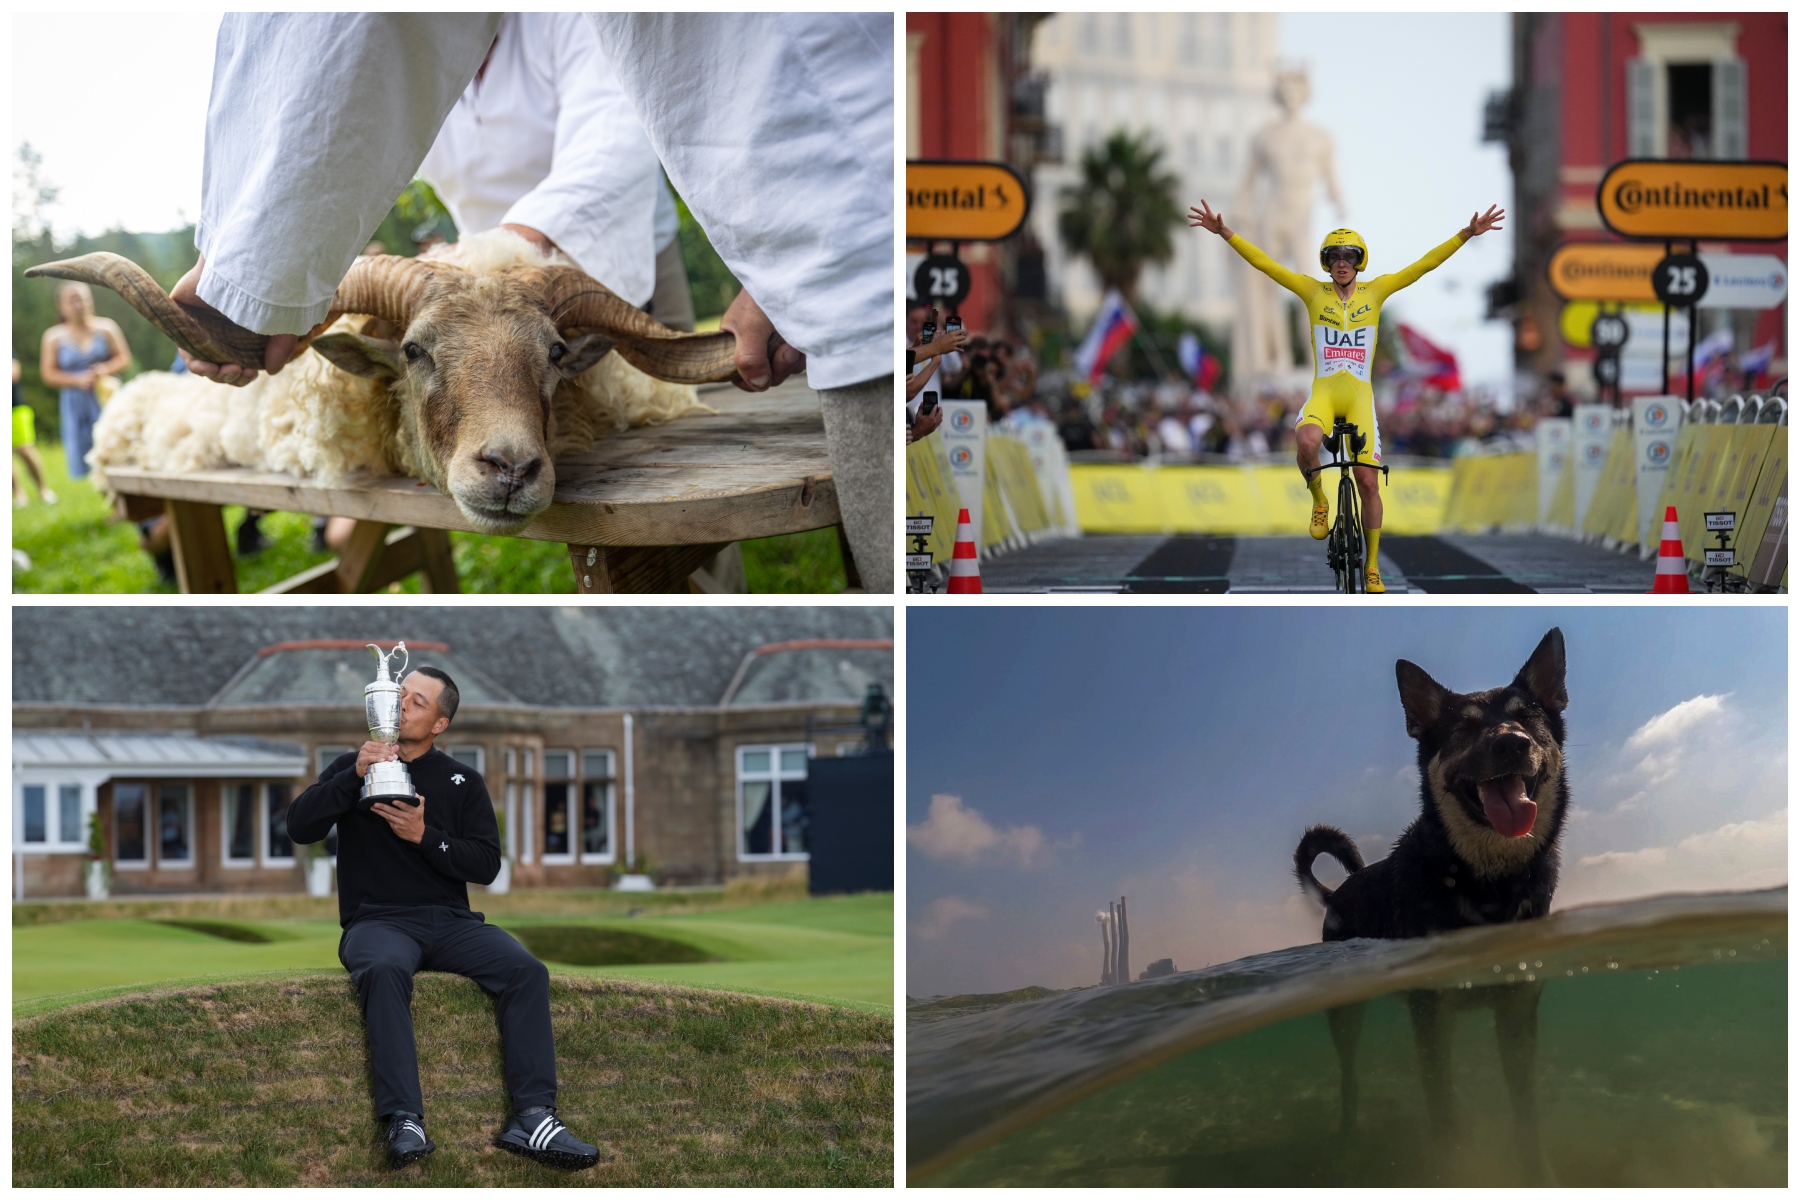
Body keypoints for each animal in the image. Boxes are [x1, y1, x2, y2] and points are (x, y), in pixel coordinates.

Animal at [1296, 629, 1562, 1180]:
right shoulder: (1431, 1012)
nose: (1511, 743)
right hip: (1346, 1011)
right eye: (1462, 729)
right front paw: (1453, 1165)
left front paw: (1537, 1172)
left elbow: (1524, 1106)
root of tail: (1336, 893)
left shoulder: (1517, 1005)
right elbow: (1444, 1106)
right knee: (1349, 1077)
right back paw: (1347, 1137)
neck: (1485, 881)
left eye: (1529, 719)